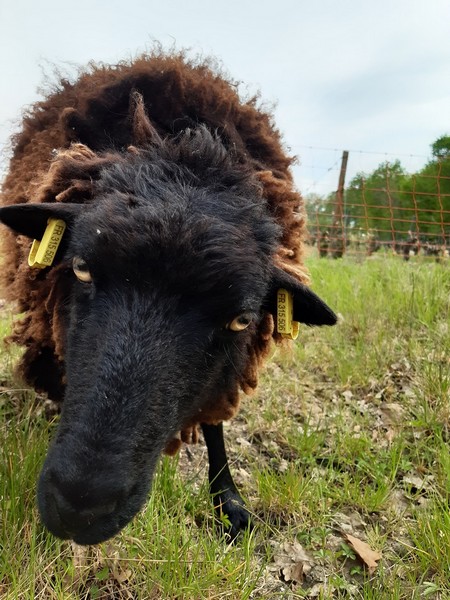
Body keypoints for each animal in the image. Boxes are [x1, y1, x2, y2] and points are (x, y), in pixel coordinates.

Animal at [0, 51, 336, 544]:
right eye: (81, 268)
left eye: (241, 319)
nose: (80, 509)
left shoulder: (230, 363)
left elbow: (215, 422)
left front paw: (228, 502)